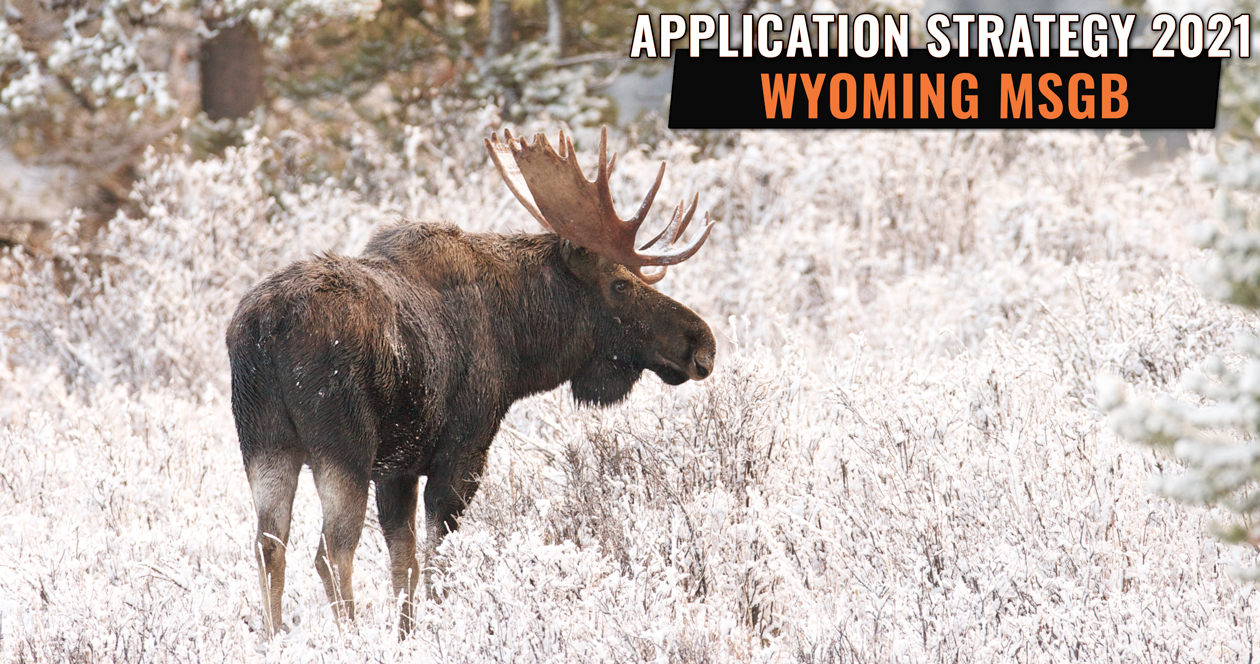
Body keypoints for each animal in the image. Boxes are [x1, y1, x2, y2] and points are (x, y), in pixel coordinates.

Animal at [226, 127, 717, 637]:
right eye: (621, 283)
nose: (702, 345)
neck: (519, 344)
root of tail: (268, 326)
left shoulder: (398, 467)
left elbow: (405, 564)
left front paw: (406, 635)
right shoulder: (461, 452)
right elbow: (437, 561)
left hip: (265, 441)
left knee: (268, 545)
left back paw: (274, 637)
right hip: (343, 446)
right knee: (331, 551)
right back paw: (350, 639)